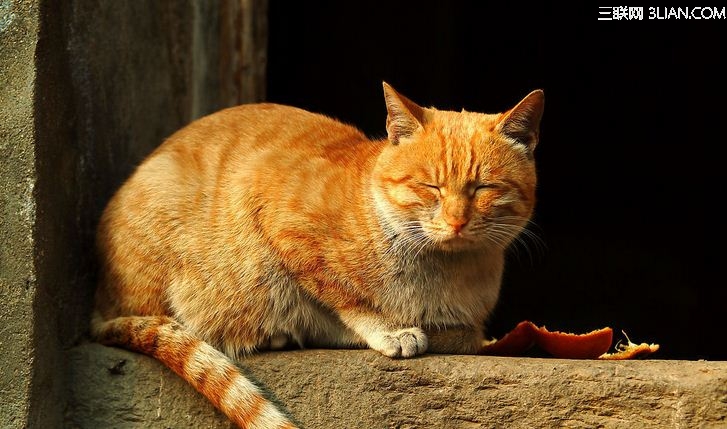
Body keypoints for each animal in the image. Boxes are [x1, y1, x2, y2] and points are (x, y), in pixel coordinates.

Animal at [92, 82, 540, 426]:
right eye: (431, 187)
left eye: (483, 188)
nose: (456, 221)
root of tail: (99, 305)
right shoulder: (278, 218)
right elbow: (344, 300)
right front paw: (390, 331)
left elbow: (467, 334)